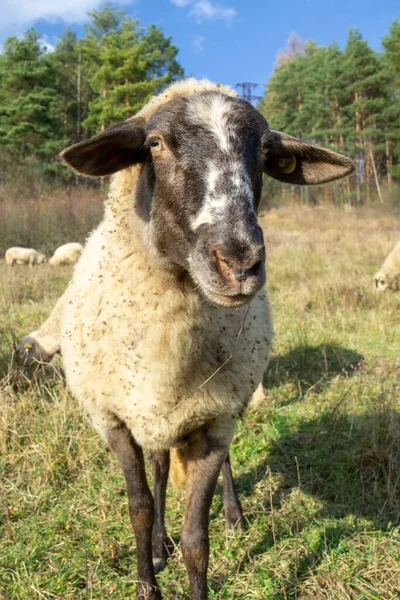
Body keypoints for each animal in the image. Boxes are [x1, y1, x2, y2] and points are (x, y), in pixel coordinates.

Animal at [26, 79, 354, 600]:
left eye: (266, 153)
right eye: (155, 144)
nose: (239, 261)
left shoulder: (215, 420)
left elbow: (197, 538)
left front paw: (200, 544)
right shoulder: (111, 419)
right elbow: (139, 508)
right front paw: (148, 577)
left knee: (220, 468)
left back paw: (234, 515)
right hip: (153, 414)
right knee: (160, 470)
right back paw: (160, 546)